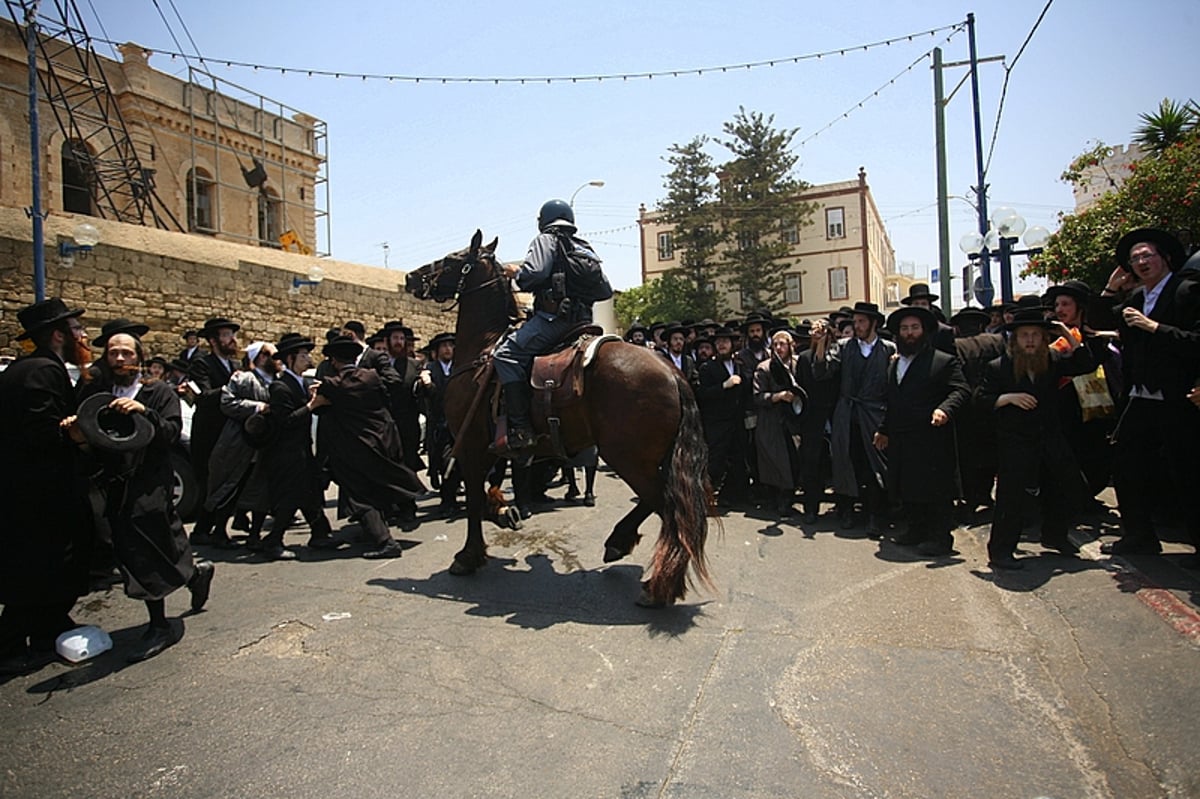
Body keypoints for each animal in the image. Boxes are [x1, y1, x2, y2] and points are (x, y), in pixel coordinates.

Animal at [405, 230, 710, 604]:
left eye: (452, 259)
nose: (411, 278)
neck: (481, 352)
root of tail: (672, 374)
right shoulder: (495, 447)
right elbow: (494, 486)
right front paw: (504, 513)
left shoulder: (471, 445)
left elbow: (475, 498)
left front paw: (469, 555)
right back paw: (621, 544)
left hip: (627, 457)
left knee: (667, 508)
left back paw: (657, 585)